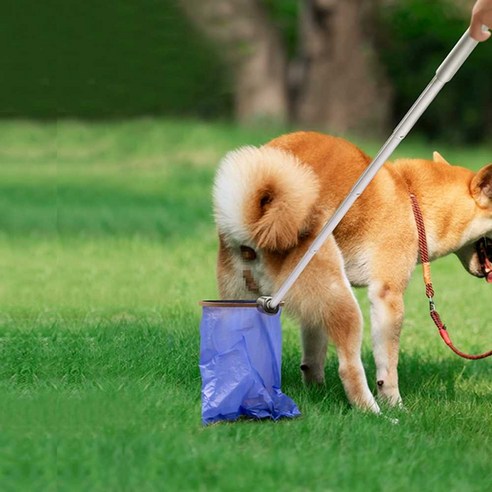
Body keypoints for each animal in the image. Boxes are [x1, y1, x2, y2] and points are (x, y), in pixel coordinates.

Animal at [214, 131, 492, 412]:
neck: (411, 197)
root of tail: (259, 226)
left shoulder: (314, 313)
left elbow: (313, 354)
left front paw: (315, 390)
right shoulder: (387, 293)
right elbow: (387, 366)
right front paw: (395, 404)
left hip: (242, 301)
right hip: (343, 300)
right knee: (349, 368)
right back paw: (375, 413)